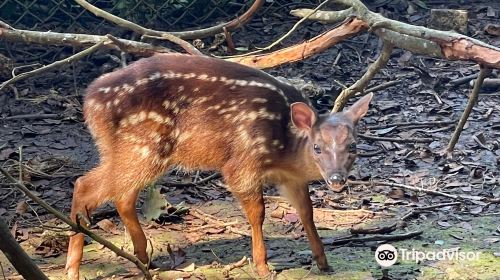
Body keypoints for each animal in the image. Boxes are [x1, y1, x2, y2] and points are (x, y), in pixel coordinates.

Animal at [65, 52, 372, 278]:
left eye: (353, 146)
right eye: (317, 147)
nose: (336, 179)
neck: (285, 147)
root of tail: (89, 102)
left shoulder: (291, 178)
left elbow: (307, 212)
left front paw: (324, 263)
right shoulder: (242, 162)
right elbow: (258, 213)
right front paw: (262, 267)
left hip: (131, 150)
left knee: (121, 195)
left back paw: (144, 259)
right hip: (143, 146)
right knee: (86, 184)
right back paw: (73, 269)